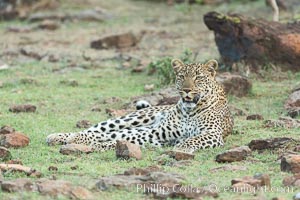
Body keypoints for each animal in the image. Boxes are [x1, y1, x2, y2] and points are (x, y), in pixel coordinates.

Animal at [46, 58, 234, 152]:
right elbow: (114, 135)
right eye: (181, 77)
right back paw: (59, 137)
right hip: (131, 119)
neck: (190, 112)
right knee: (97, 130)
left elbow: (192, 139)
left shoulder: (212, 133)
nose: (187, 90)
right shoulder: (159, 131)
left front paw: (181, 148)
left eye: (198, 78)